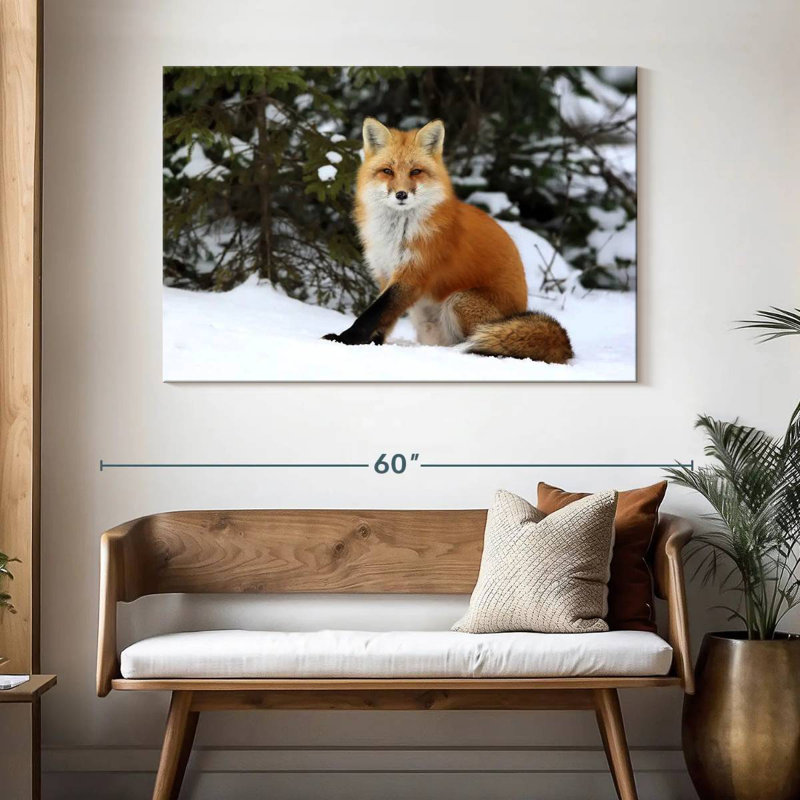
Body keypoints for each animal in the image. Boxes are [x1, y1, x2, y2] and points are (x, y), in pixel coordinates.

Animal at [323, 117, 573, 364]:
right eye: (387, 171)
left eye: (415, 171)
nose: (401, 194)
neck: (397, 233)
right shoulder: (386, 273)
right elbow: (385, 316)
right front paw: (372, 343)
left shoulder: (414, 273)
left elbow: (373, 313)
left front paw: (344, 339)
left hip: (459, 300)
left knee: (480, 341)